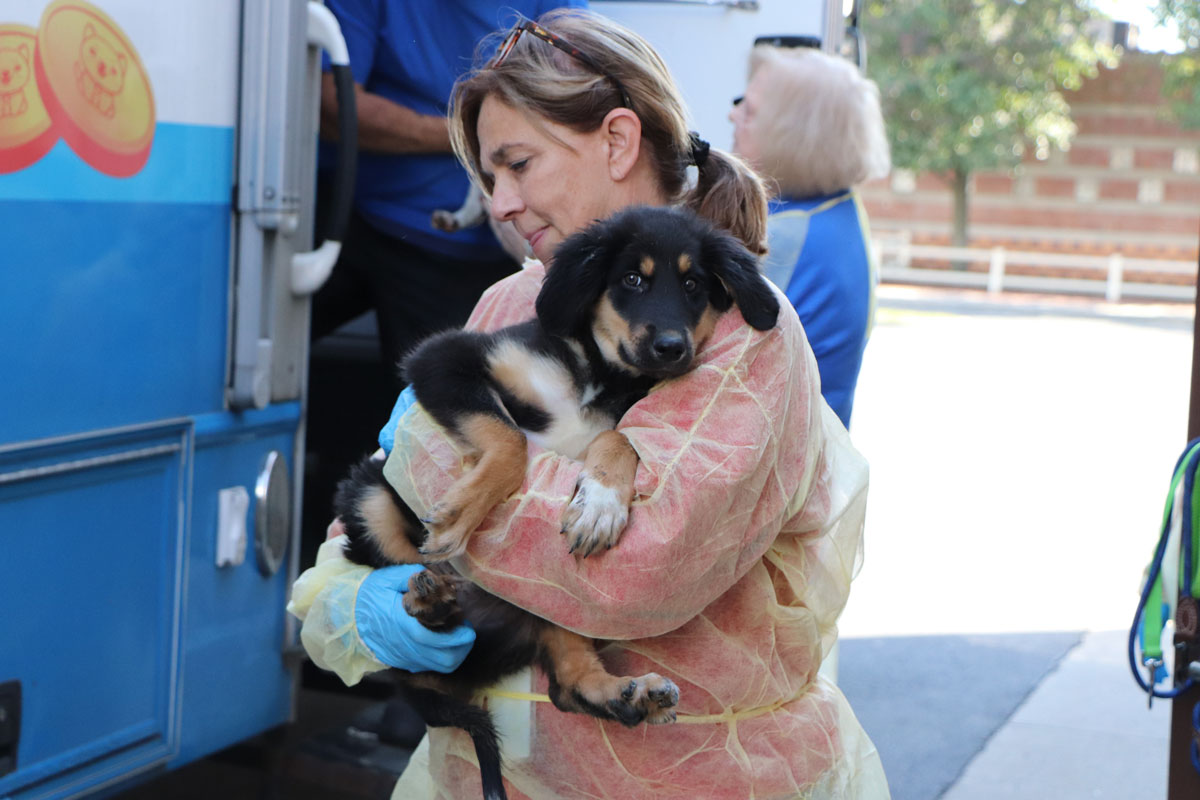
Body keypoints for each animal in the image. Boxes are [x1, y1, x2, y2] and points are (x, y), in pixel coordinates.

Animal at [331, 203, 777, 796]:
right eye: (631, 280)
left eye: (693, 285)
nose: (671, 349)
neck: (604, 373)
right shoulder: (446, 357)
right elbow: (510, 437)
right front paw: (460, 514)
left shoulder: (613, 424)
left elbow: (619, 441)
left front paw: (601, 506)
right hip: (369, 496)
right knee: (400, 595)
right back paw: (428, 596)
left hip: (564, 601)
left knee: (566, 685)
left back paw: (630, 693)